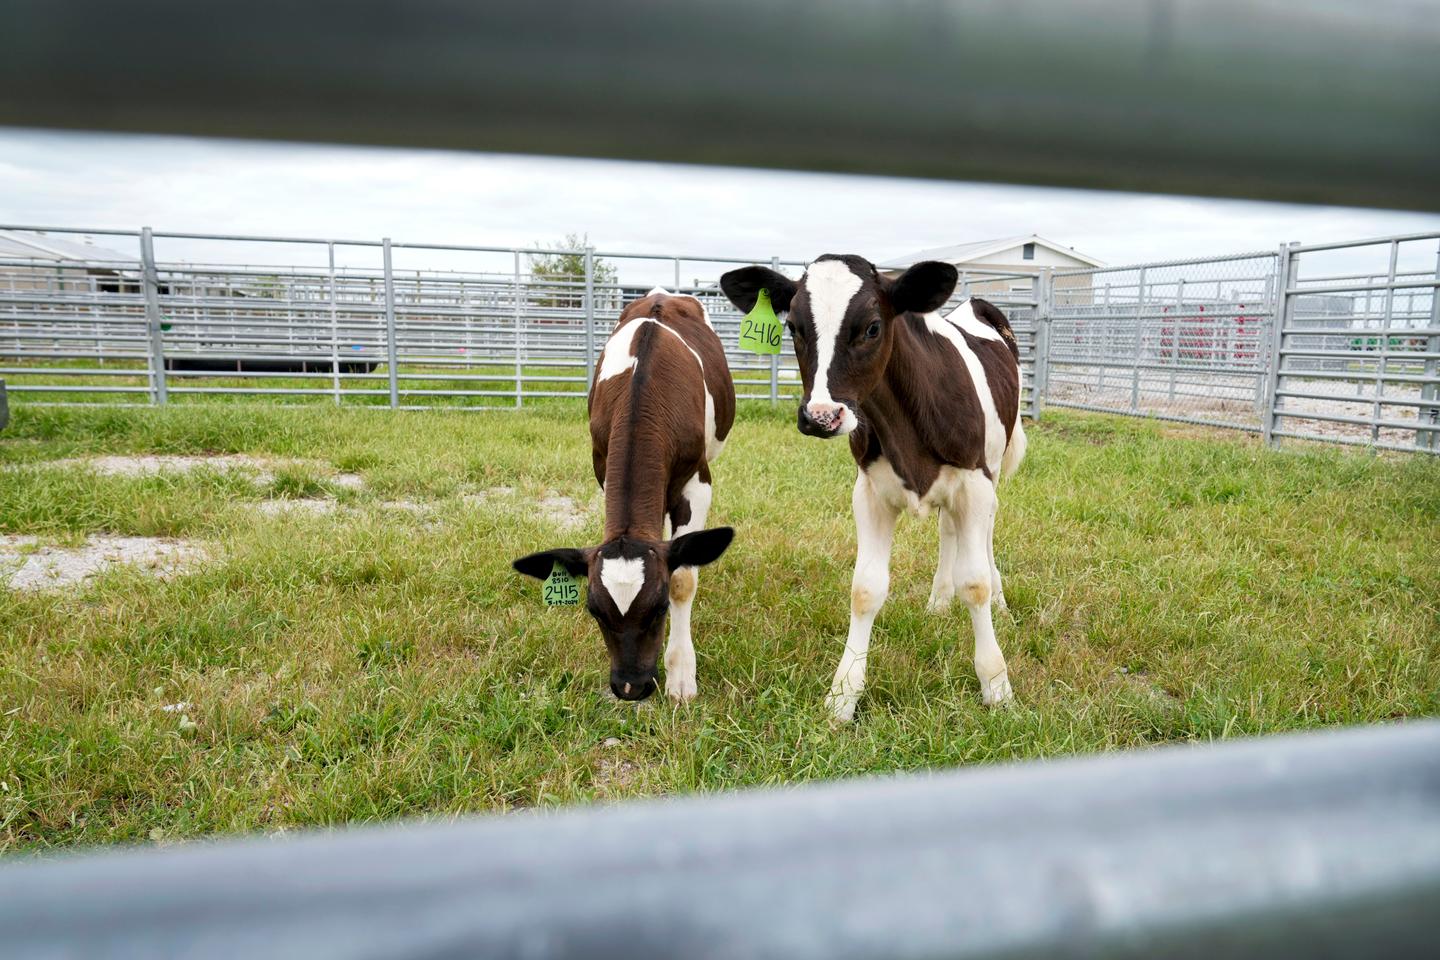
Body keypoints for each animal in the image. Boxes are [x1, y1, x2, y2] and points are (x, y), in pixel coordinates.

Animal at [515, 289, 737, 702]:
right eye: (594, 610)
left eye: (660, 607)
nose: (630, 686)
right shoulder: (601, 465)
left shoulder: (698, 480)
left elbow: (684, 577)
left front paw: (681, 674)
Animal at [720, 254, 1025, 719]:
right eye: (793, 327)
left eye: (872, 327)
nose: (821, 416)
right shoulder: (869, 492)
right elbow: (865, 589)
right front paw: (842, 696)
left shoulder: (974, 483)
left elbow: (975, 584)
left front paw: (996, 685)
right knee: (947, 531)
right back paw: (938, 601)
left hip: (992, 468)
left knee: (986, 533)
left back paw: (1001, 604)